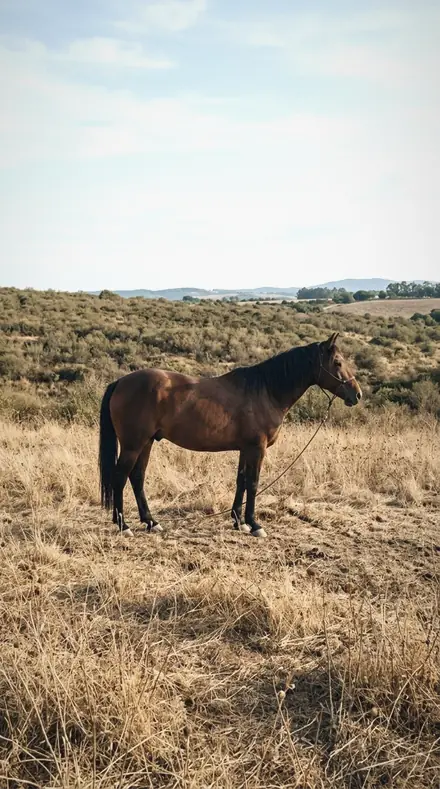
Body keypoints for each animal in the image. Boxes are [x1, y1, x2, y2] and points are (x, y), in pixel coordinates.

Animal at [98, 332, 362, 538]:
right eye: (337, 362)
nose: (357, 394)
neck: (266, 391)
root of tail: (121, 381)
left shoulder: (246, 448)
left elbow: (241, 481)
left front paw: (239, 521)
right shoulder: (257, 448)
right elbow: (253, 483)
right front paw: (255, 525)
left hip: (146, 443)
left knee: (137, 477)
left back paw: (151, 522)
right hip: (133, 445)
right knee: (120, 477)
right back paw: (124, 525)